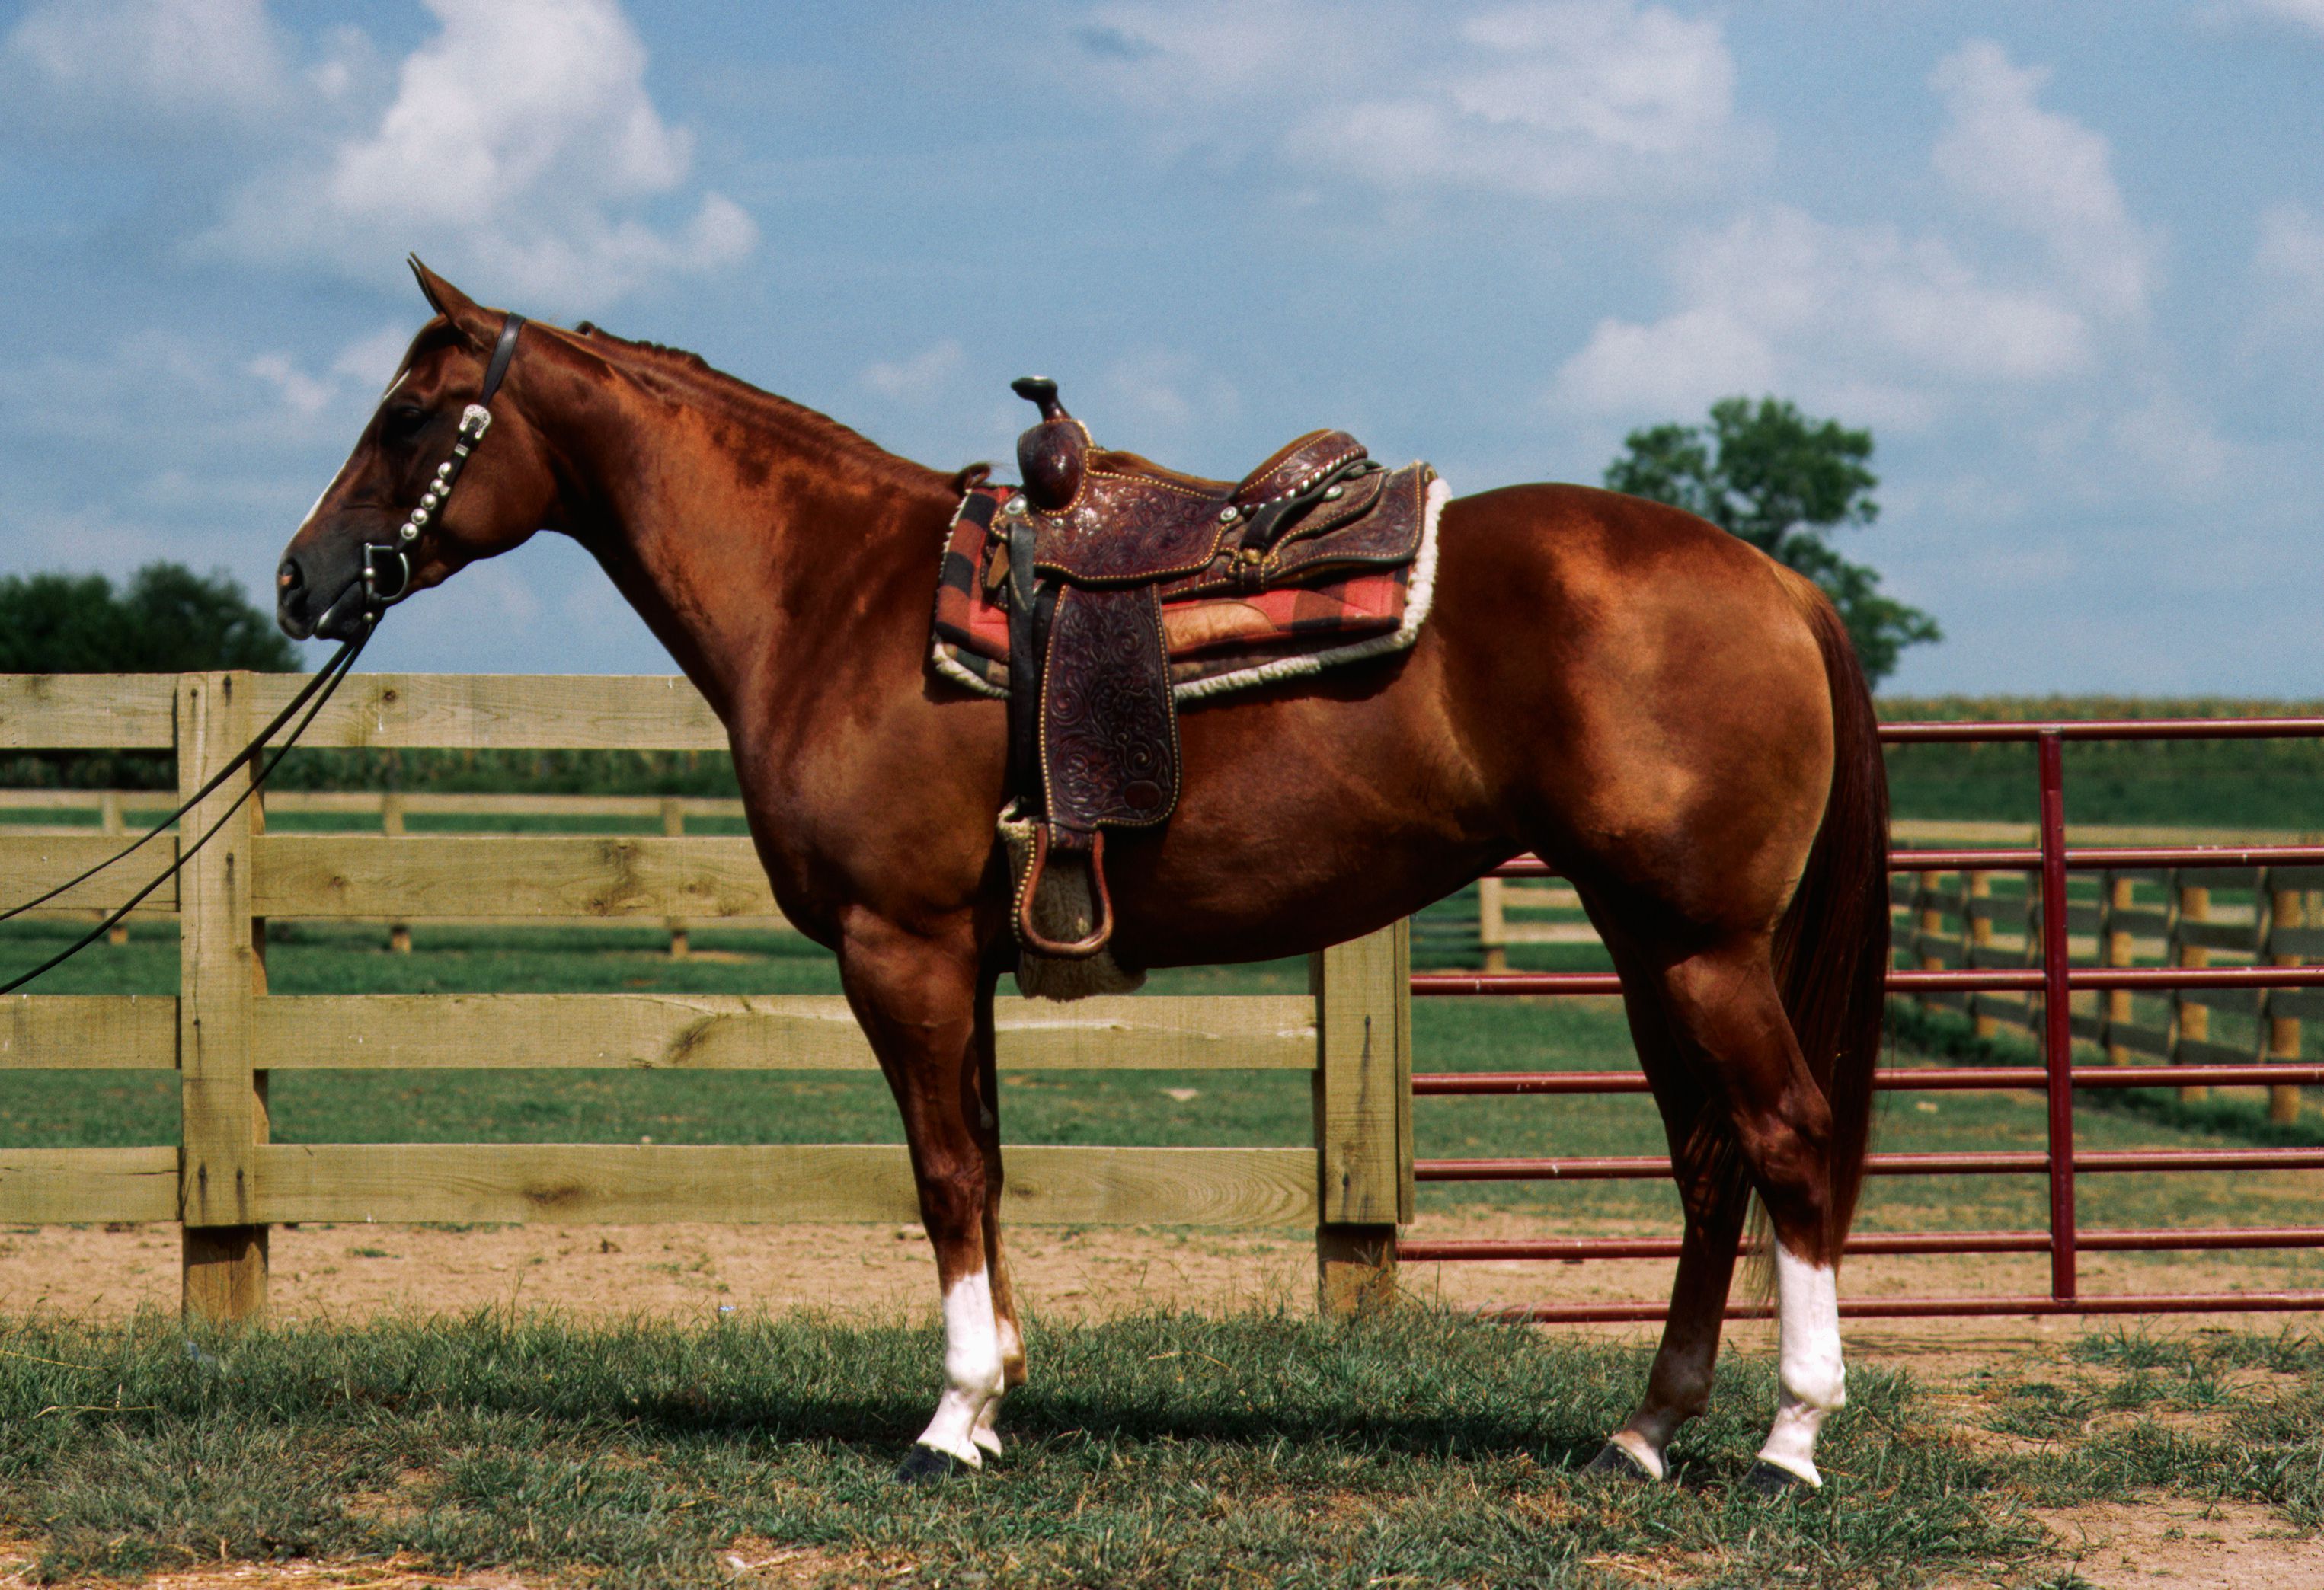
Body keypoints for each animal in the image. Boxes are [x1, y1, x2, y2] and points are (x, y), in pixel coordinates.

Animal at [277, 263, 1887, 1487]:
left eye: (407, 415)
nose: (300, 580)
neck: (834, 593)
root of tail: (1779, 582)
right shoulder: (962, 960)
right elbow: (986, 1165)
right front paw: (993, 1398)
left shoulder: (899, 946)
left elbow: (941, 1172)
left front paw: (945, 1422)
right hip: (1650, 943)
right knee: (1709, 1161)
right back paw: (1647, 1427)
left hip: (1698, 946)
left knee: (1788, 1137)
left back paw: (1791, 1438)